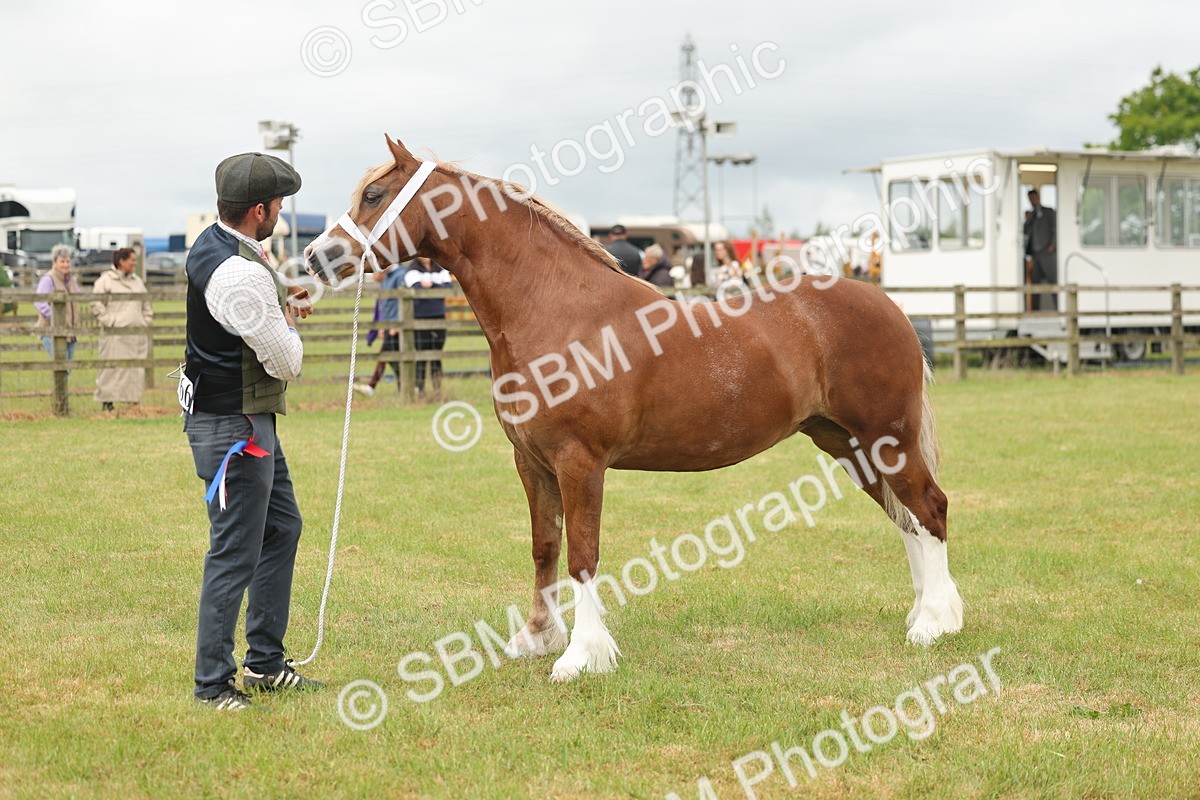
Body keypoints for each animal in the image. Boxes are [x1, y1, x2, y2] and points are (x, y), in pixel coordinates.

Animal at [306, 136, 964, 683]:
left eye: (373, 195)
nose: (314, 257)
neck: (555, 307)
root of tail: (892, 308)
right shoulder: (532, 463)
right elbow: (545, 547)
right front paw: (535, 638)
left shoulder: (579, 462)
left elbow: (582, 555)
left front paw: (580, 657)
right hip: (845, 443)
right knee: (905, 518)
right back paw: (922, 615)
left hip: (887, 438)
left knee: (929, 508)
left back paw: (935, 624)